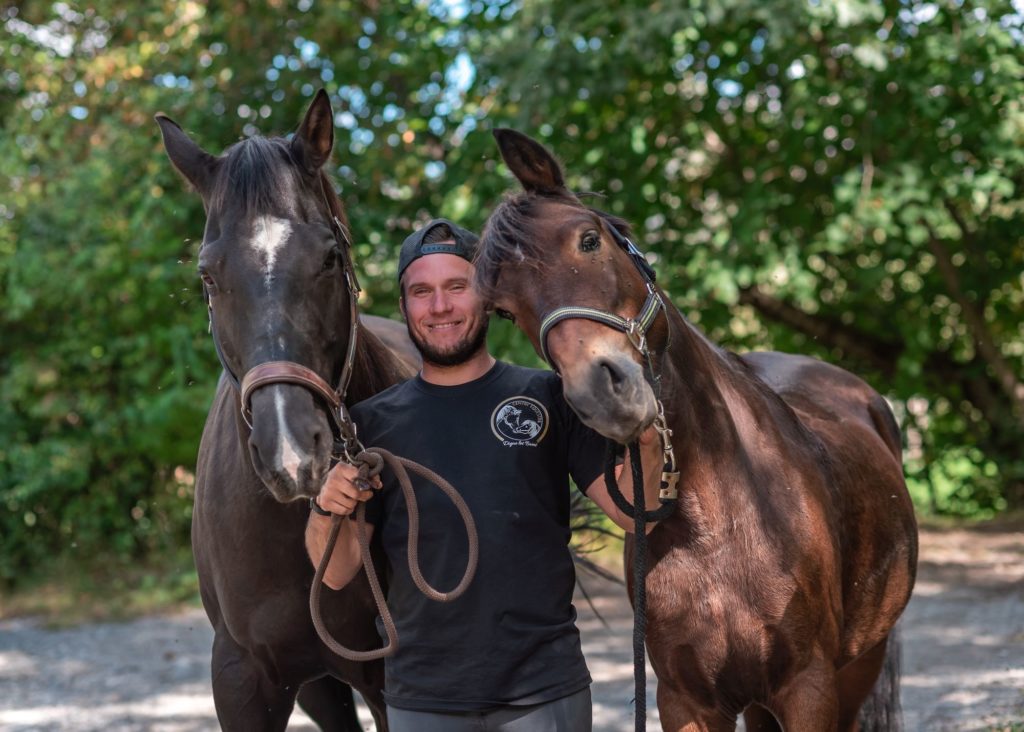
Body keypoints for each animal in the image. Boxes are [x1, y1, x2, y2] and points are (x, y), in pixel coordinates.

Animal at [479, 128, 921, 728]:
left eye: (588, 240)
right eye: (504, 310)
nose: (601, 393)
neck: (719, 525)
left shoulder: (811, 688)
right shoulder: (685, 698)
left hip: (860, 664)